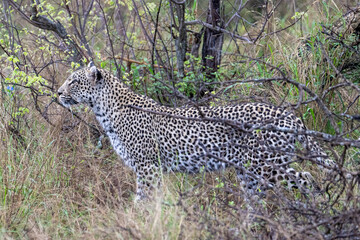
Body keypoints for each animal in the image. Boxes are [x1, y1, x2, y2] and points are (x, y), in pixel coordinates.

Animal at [57, 62, 334, 201]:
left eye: (73, 81)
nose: (58, 92)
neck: (104, 110)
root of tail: (290, 116)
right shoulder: (147, 169)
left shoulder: (148, 167)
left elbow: (144, 200)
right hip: (249, 172)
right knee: (257, 201)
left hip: (266, 165)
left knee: (307, 179)